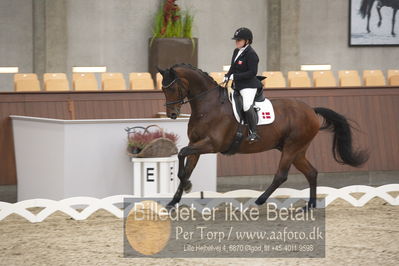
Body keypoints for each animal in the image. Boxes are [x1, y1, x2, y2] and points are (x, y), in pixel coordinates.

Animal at [158, 64, 370, 210]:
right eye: (162, 88)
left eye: (172, 88)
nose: (172, 114)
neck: (208, 106)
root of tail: (311, 109)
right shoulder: (196, 144)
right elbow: (186, 166)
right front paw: (175, 199)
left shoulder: (211, 145)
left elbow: (182, 154)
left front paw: (185, 187)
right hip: (297, 151)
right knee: (311, 172)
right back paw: (309, 205)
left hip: (292, 147)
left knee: (281, 175)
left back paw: (259, 200)